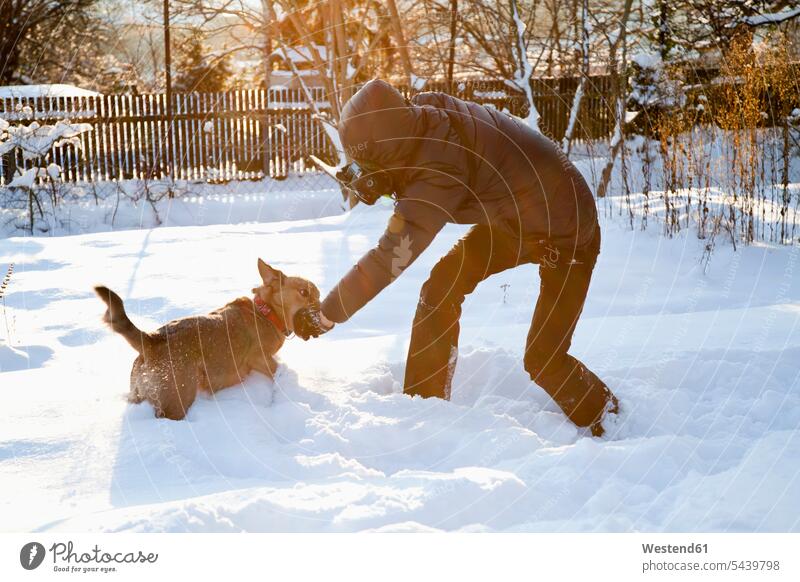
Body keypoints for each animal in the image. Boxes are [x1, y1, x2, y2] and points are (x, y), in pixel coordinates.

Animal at [92, 260, 320, 420]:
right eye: (304, 292)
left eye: (317, 295)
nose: (322, 307)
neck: (265, 312)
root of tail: (151, 340)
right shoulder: (259, 358)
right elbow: (276, 371)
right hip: (177, 400)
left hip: (138, 394)